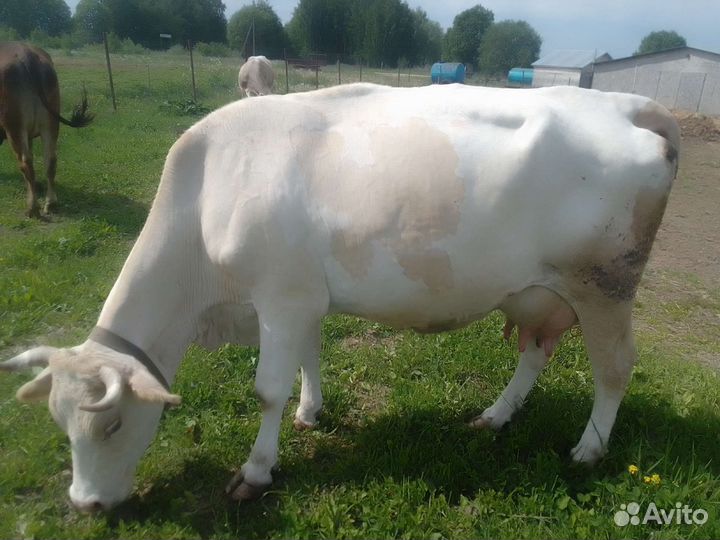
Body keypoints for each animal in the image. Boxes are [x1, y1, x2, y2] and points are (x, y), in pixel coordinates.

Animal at [0, 42, 93, 217]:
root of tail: (26, 54)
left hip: (15, 126)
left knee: (26, 162)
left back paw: (32, 208)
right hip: (50, 123)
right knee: (50, 160)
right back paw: (50, 203)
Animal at [1, 83, 679, 512]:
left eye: (111, 424)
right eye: (60, 423)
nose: (85, 505)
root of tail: (629, 105)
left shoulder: (279, 296)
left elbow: (267, 389)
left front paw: (256, 471)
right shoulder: (302, 296)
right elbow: (309, 356)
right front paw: (310, 411)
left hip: (603, 288)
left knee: (615, 369)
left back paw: (589, 448)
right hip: (537, 292)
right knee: (534, 354)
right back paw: (495, 415)